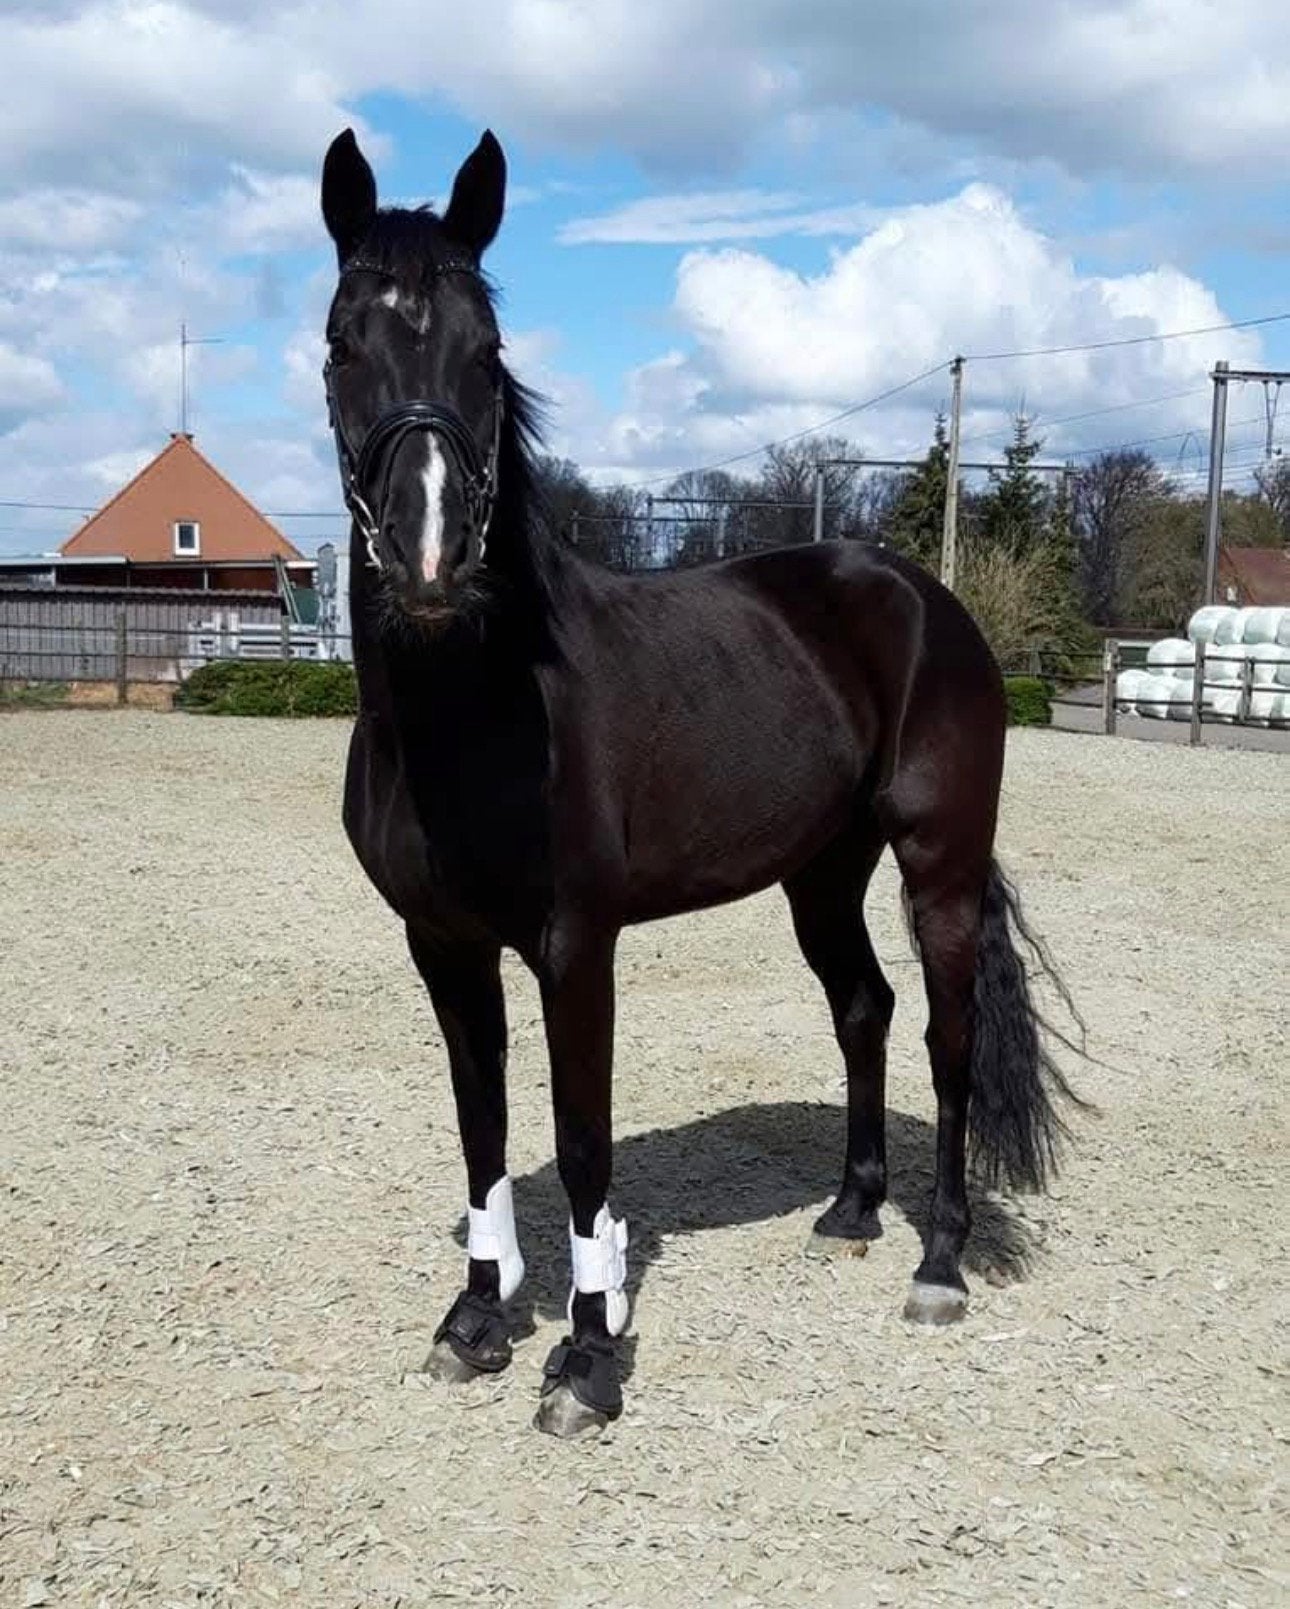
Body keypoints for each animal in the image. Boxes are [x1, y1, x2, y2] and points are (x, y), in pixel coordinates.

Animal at [320, 127, 1080, 1438]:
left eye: (490, 353)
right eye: (341, 343)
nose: (430, 559)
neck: (475, 708)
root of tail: (919, 594)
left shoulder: (576, 945)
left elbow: (582, 1142)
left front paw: (585, 1359)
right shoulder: (442, 943)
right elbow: (481, 1127)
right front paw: (474, 1322)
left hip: (937, 864)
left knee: (947, 1034)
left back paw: (937, 1264)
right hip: (822, 873)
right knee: (863, 1006)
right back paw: (851, 1210)